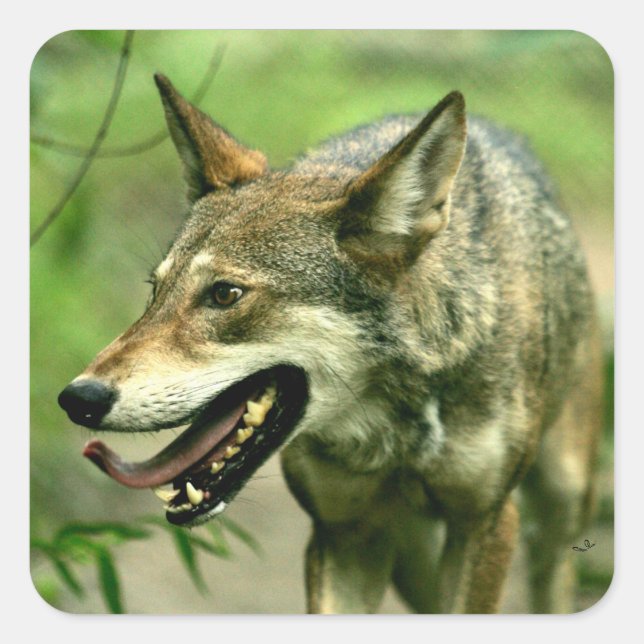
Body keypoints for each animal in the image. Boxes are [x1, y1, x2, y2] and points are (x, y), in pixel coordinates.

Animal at [58, 73, 604, 614]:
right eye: (156, 291)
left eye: (225, 294)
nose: (77, 398)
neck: (397, 426)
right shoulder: (342, 534)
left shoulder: (485, 523)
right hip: (414, 560)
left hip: (558, 508)